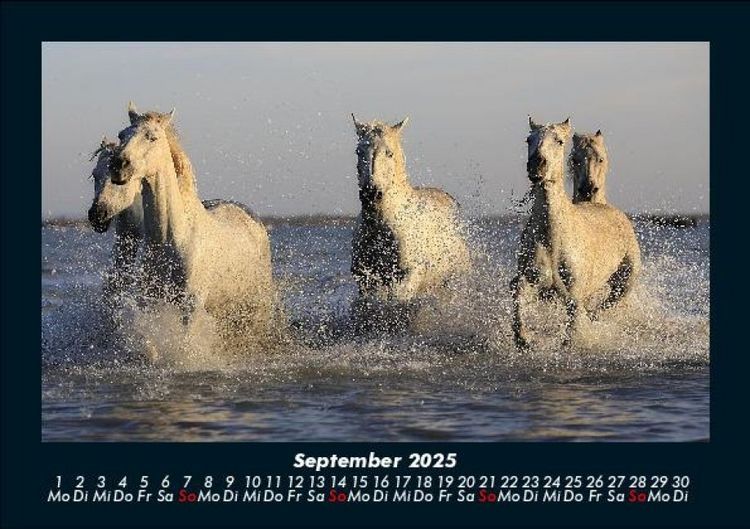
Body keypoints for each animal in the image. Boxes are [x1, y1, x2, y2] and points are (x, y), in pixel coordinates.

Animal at [88, 103, 276, 352]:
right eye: (122, 134)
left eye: (152, 137)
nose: (119, 165)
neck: (172, 238)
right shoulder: (151, 302)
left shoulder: (190, 307)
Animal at [350, 115, 471, 333]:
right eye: (359, 151)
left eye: (389, 153)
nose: (371, 194)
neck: (381, 228)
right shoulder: (366, 279)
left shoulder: (409, 275)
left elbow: (396, 303)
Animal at [511, 117, 641, 351]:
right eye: (528, 139)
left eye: (559, 141)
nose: (536, 165)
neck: (553, 237)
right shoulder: (530, 279)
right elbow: (518, 299)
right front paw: (524, 340)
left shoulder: (574, 294)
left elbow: (572, 328)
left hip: (624, 283)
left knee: (605, 306)